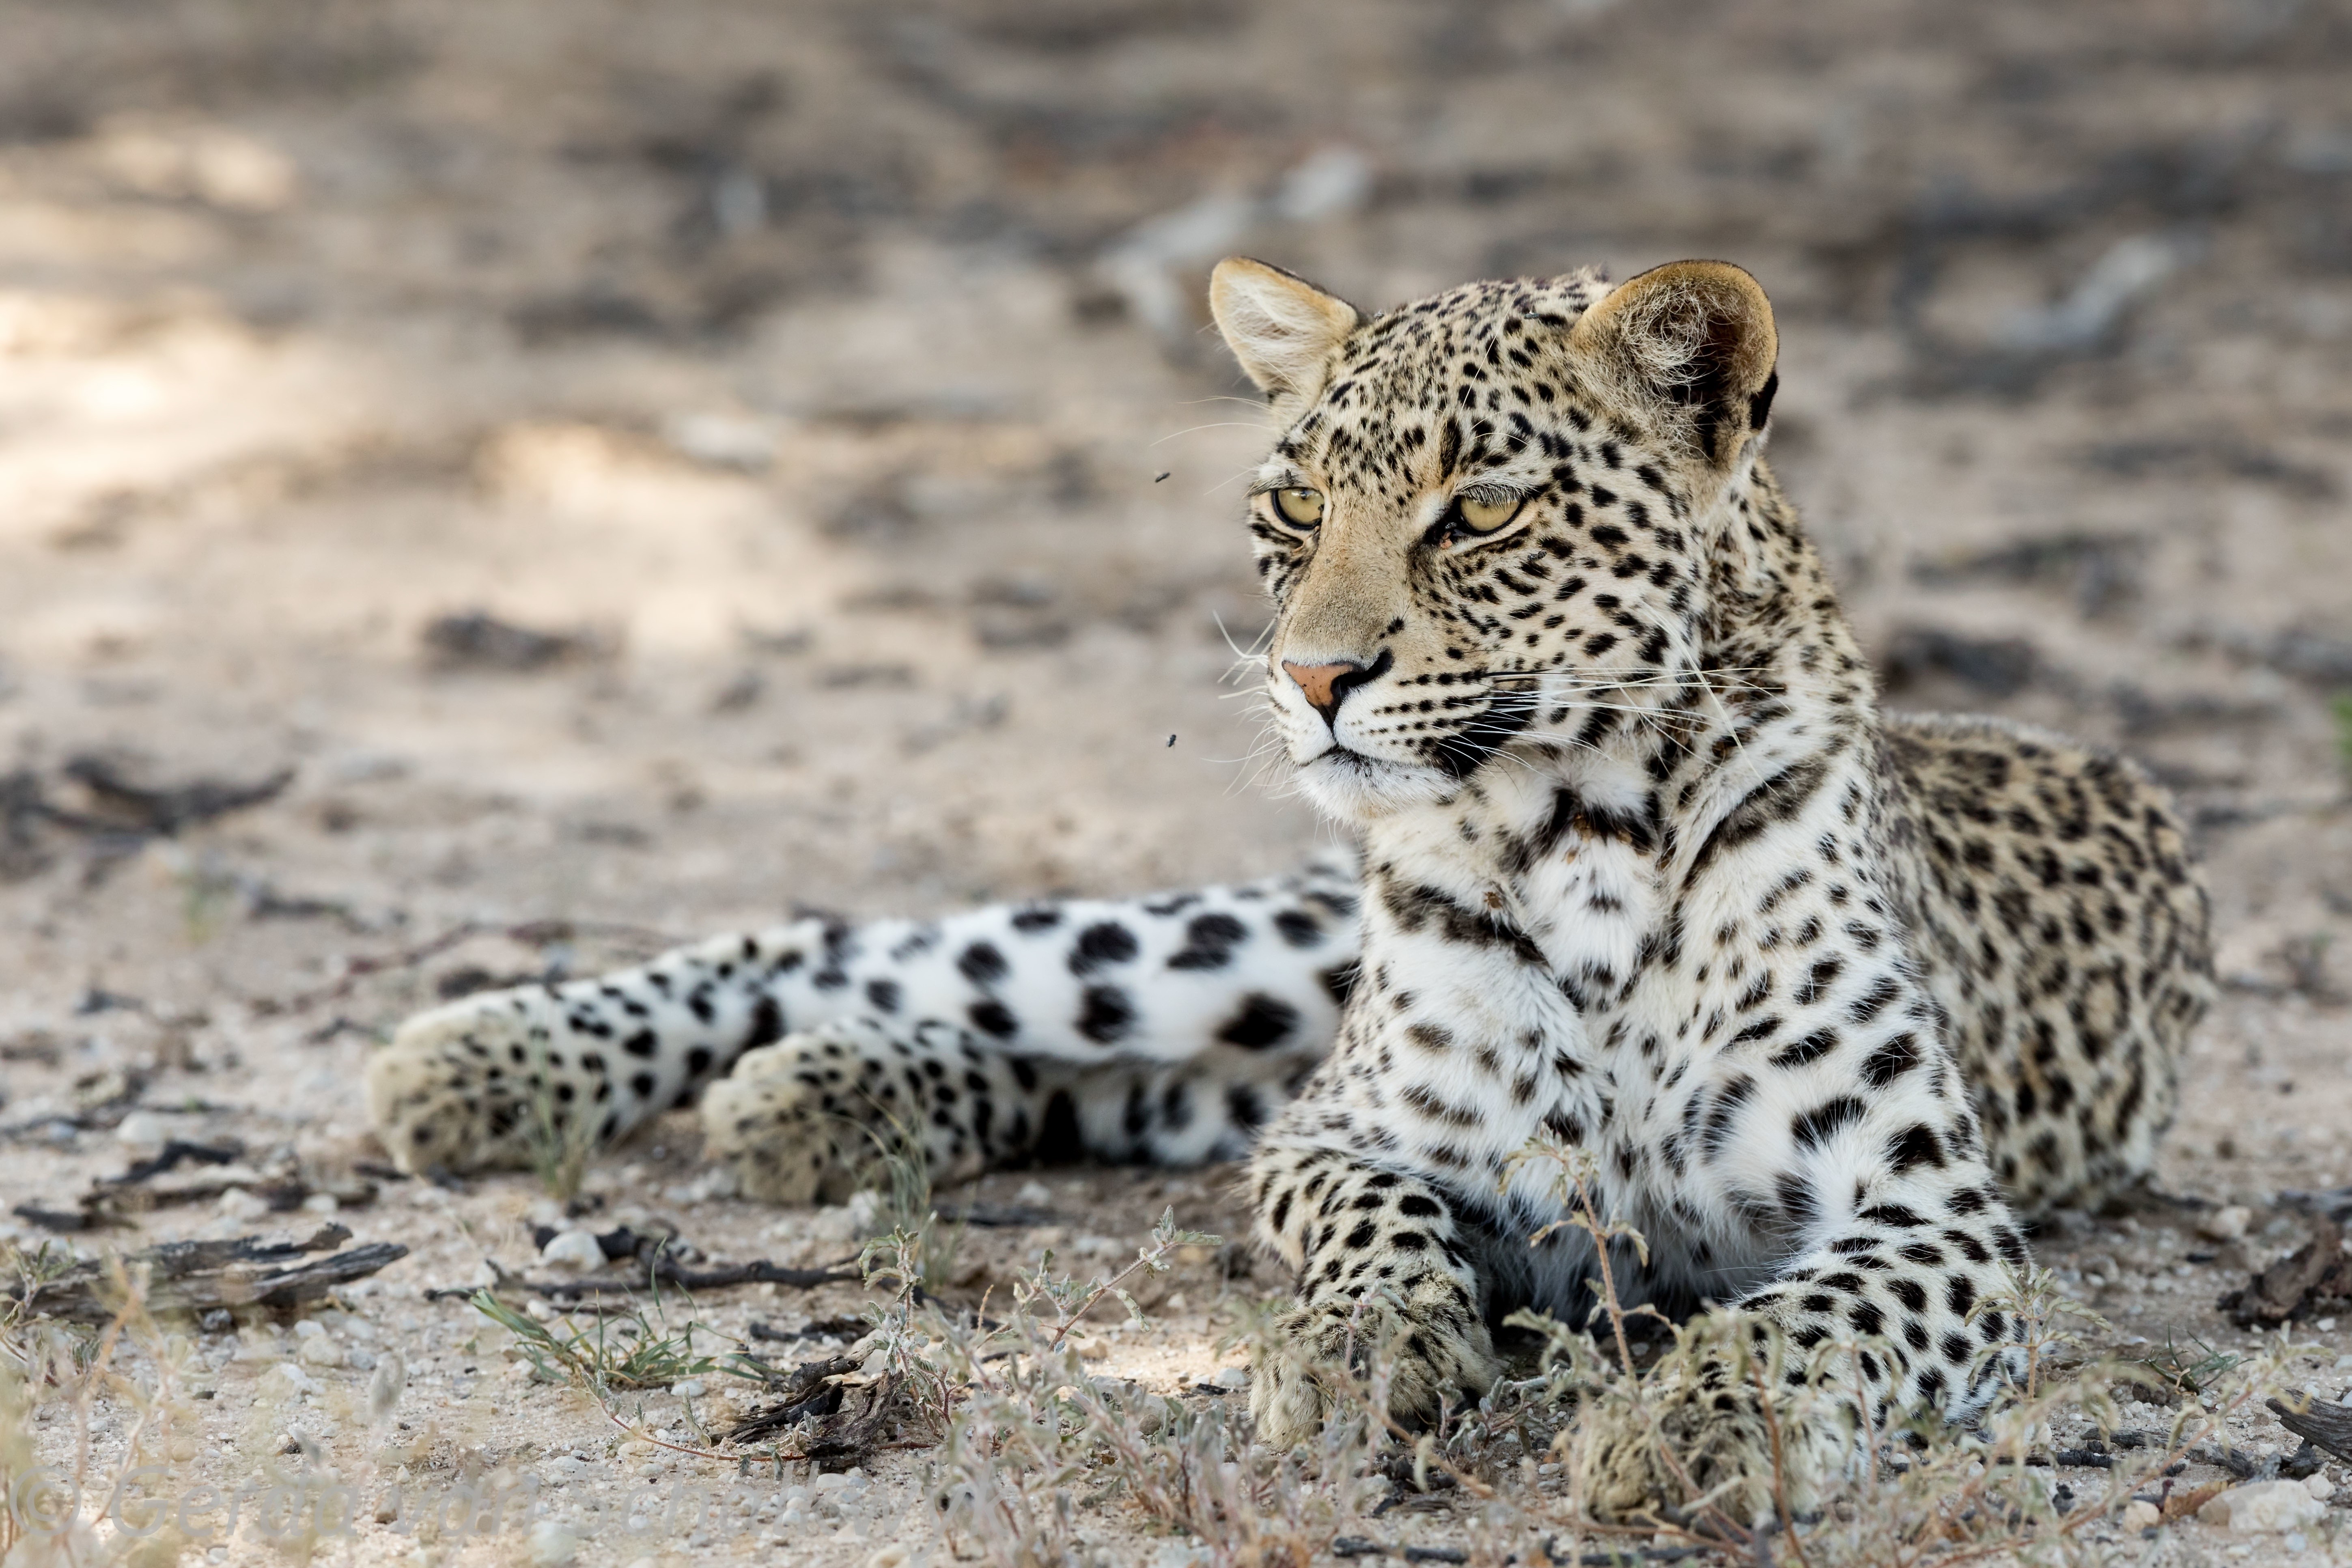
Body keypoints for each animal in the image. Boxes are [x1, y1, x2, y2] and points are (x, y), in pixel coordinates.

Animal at [365, 255, 2210, 1521]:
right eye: (1296, 499)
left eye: (1484, 510)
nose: (1313, 678)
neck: (1581, 833)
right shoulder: (1355, 1137)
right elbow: (1375, 1232)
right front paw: (1355, 1359)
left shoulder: (1929, 1216)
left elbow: (1806, 1320)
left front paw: (1691, 1424)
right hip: (1237, 953)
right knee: (870, 944)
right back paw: (487, 1061)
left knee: (1109, 1079)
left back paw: (818, 1101)